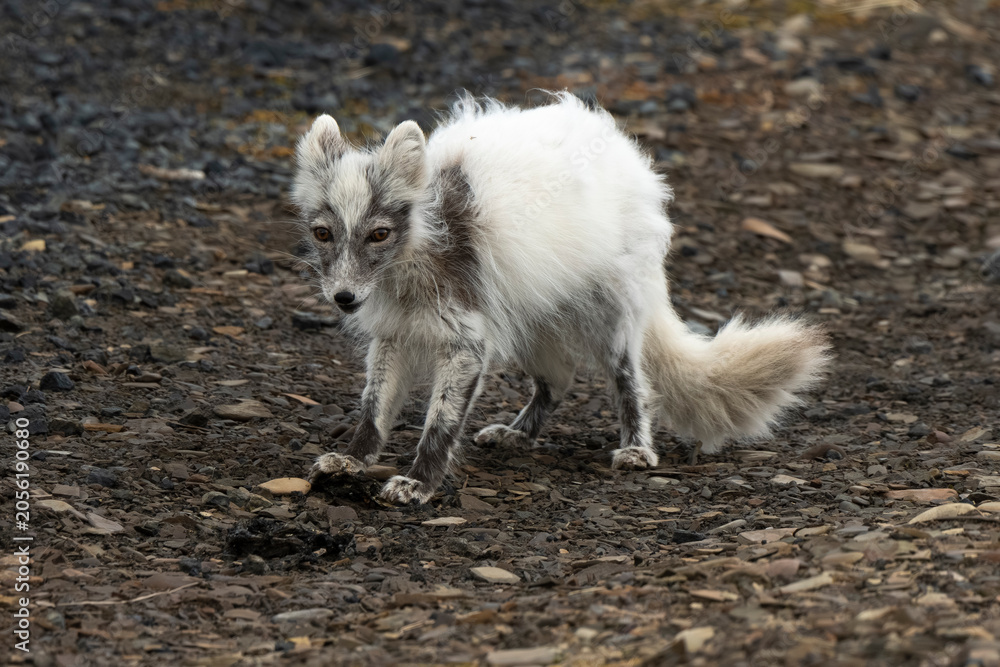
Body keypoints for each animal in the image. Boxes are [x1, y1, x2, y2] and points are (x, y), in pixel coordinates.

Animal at [292, 93, 831, 505]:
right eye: (322, 233)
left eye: (379, 234)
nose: (343, 298)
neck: (416, 258)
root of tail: (625, 151)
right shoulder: (393, 336)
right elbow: (373, 408)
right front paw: (352, 460)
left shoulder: (467, 343)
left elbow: (440, 422)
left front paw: (419, 484)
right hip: (530, 320)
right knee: (559, 381)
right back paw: (518, 434)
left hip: (609, 319)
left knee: (631, 381)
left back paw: (637, 449)